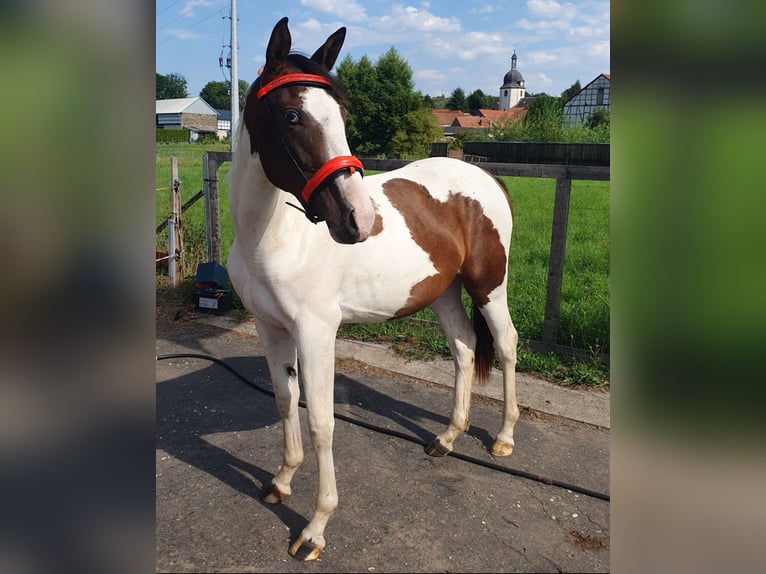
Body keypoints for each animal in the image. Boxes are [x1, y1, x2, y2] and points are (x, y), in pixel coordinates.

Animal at [227, 17, 520, 561]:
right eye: (293, 115)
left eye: (341, 114)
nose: (358, 220)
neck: (272, 236)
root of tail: (486, 176)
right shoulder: (270, 328)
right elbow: (284, 400)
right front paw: (281, 481)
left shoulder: (316, 332)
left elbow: (321, 422)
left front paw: (315, 529)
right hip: (444, 292)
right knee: (466, 349)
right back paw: (448, 437)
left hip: (489, 286)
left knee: (506, 345)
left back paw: (505, 438)